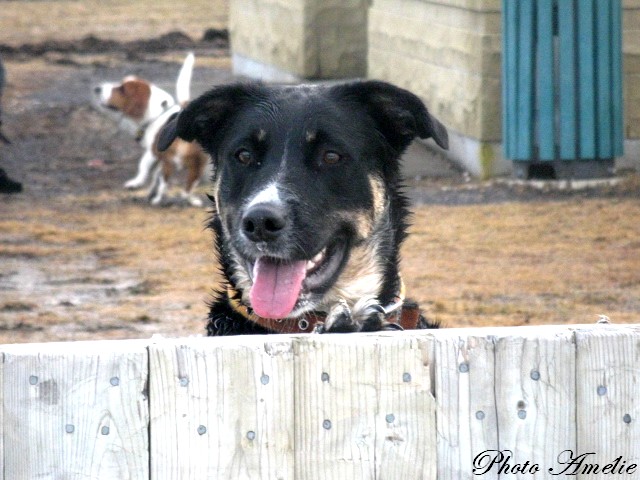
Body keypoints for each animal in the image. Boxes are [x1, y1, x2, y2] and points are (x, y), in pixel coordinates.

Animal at [94, 53, 209, 206]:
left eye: (122, 89)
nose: (97, 88)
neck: (157, 114)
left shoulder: (153, 152)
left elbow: (143, 166)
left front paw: (135, 183)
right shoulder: (163, 160)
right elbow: (156, 177)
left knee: (179, 188)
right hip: (194, 166)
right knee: (184, 188)